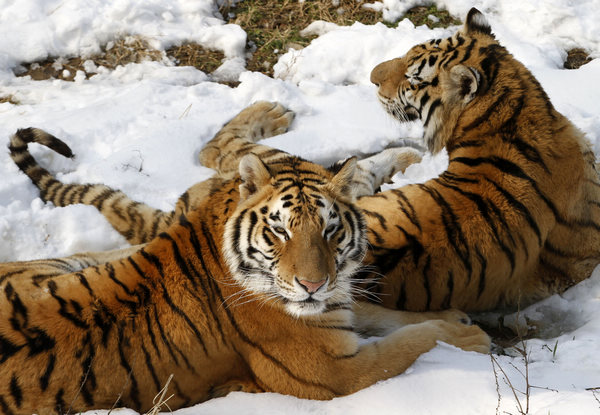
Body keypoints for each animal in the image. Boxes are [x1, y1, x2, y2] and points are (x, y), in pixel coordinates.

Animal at [1, 101, 488, 415]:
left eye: (330, 230)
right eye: (280, 230)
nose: (312, 284)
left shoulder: (333, 307)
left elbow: (382, 314)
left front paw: (454, 317)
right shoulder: (336, 372)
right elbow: (408, 345)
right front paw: (467, 338)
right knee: (219, 151)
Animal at [10, 6, 600, 316]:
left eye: (414, 75)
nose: (371, 77)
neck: (514, 109)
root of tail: (183, 216)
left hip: (280, 167)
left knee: (220, 149)